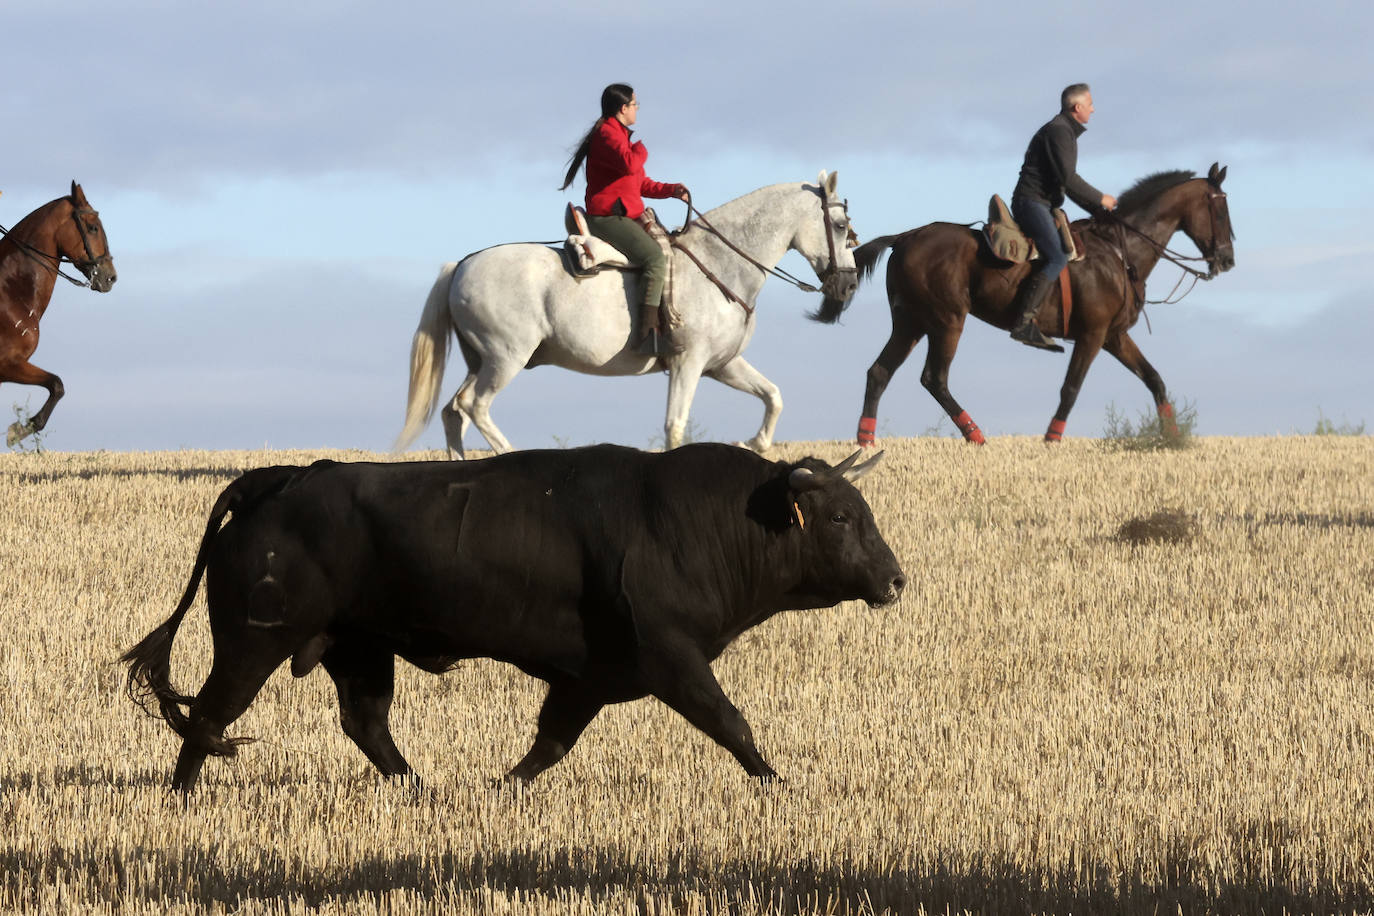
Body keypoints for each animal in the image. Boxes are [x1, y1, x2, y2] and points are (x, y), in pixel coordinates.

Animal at [1, 181, 116, 444]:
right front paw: (19, 430)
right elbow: (57, 384)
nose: (111, 277)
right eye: (93, 227)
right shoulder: (9, 363)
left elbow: (57, 385)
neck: (11, 290)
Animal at [123, 442, 906, 791]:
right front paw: (778, 784)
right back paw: (183, 794)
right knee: (211, 713)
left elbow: (550, 743)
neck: (689, 521)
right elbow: (730, 721)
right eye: (841, 517)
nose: (896, 580)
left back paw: (419, 790)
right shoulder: (671, 658)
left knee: (365, 722)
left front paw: (503, 789)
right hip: (253, 643)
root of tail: (277, 481)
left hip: (360, 647)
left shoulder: (587, 679)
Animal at [392, 170, 851, 455]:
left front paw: (752, 444)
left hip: (480, 360)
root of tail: (462, 264)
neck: (720, 262)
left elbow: (773, 397)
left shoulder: (721, 364)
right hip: (505, 358)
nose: (846, 285)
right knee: (475, 407)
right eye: (842, 226)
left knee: (453, 413)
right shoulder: (688, 363)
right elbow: (676, 424)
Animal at [813, 162, 1236, 444]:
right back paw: (975, 435)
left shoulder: (1114, 337)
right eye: (1219, 209)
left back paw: (866, 441)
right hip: (947, 321)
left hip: (911, 323)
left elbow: (1155, 380)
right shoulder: (1092, 335)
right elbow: (1071, 387)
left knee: (879, 373)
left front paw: (1173, 436)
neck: (1120, 251)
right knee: (934, 378)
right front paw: (1051, 439)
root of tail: (906, 236)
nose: (1228, 259)